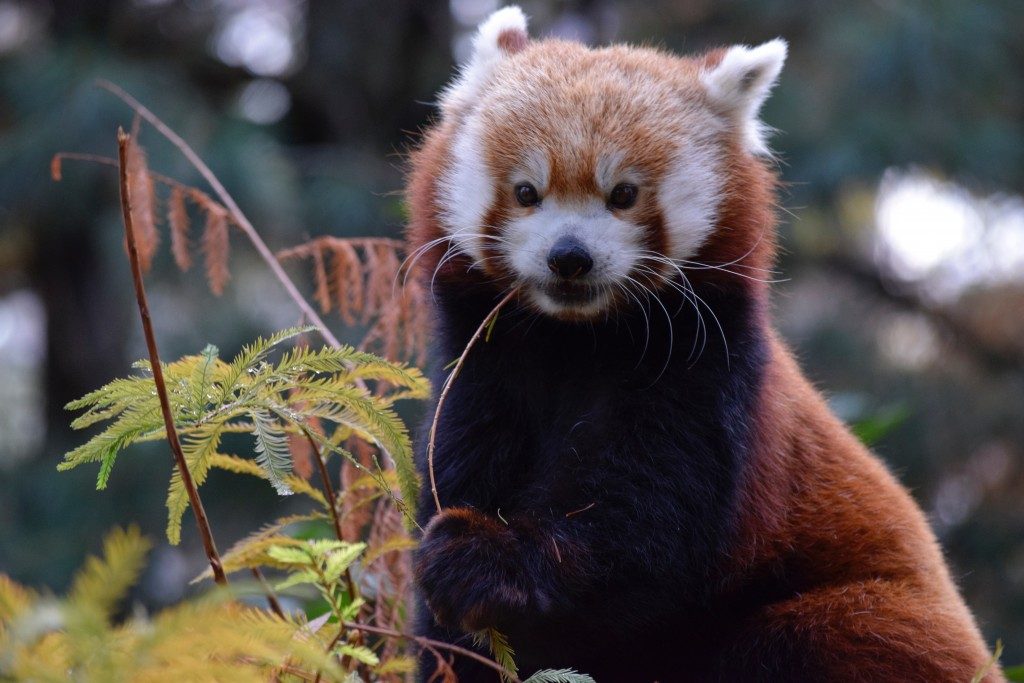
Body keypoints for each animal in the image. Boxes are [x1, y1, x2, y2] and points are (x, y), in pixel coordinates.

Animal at [405, 6, 999, 683]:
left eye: (624, 194)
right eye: (527, 192)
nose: (569, 257)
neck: (574, 341)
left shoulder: (706, 375)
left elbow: (650, 539)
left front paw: (486, 566)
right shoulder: (484, 368)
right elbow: (462, 479)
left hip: (880, 620)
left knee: (799, 641)